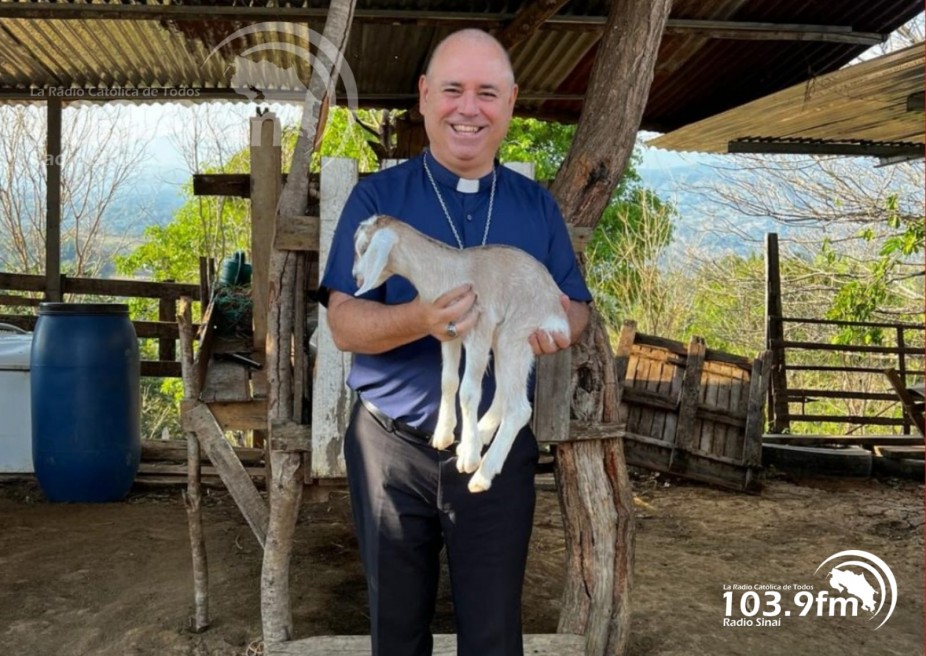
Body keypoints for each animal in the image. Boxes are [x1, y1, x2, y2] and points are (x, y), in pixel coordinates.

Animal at [352, 215, 568, 492]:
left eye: (363, 247)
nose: (356, 277)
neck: (448, 272)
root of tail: (557, 312)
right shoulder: (449, 332)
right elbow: (448, 381)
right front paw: (444, 436)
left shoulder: (479, 326)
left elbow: (468, 392)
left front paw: (469, 460)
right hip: (504, 340)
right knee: (504, 392)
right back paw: (478, 436)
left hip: (515, 333)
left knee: (519, 408)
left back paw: (482, 472)